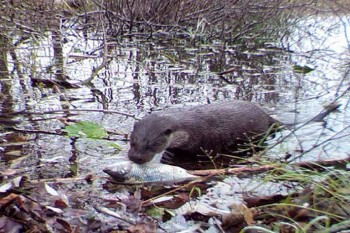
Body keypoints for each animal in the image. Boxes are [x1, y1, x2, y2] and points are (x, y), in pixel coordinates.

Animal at [127, 100, 280, 166]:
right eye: (132, 142)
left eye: (151, 146)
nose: (135, 157)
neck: (190, 130)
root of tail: (266, 116)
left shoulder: (208, 143)